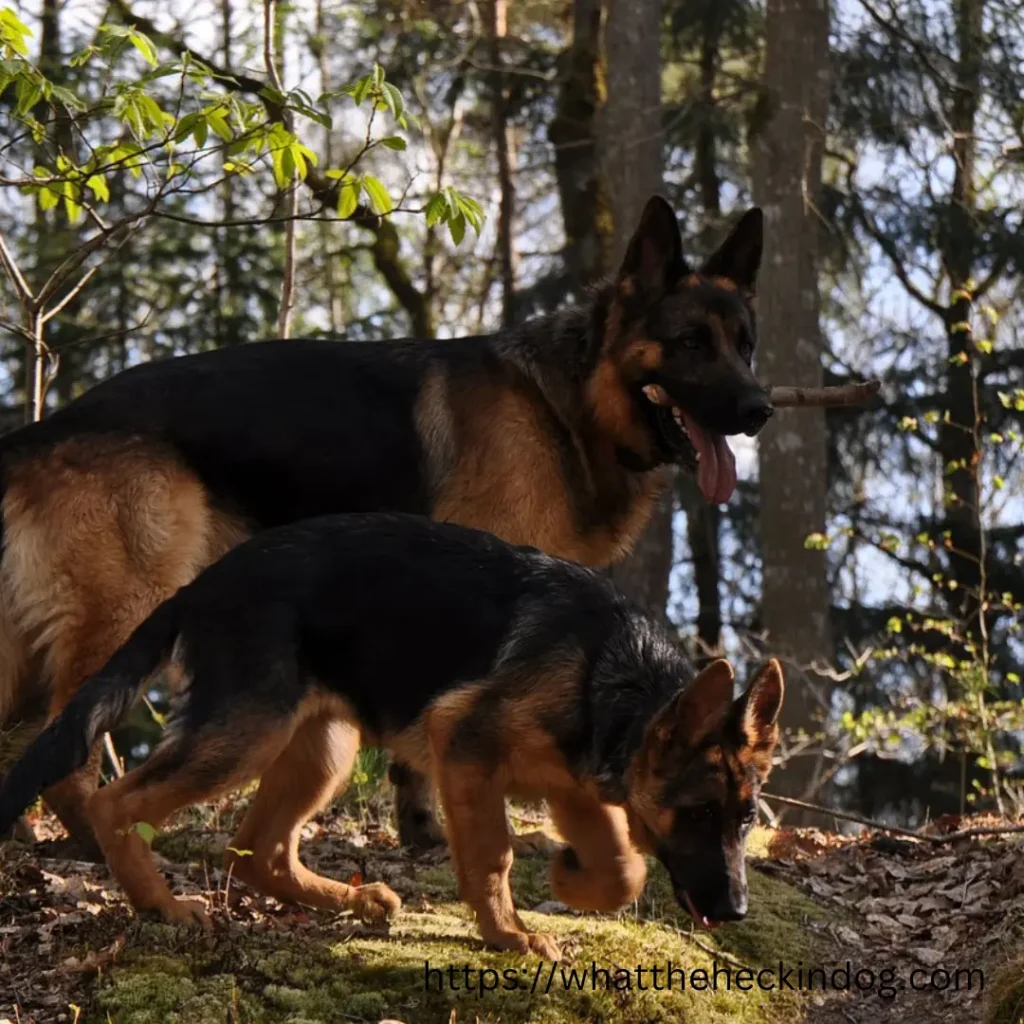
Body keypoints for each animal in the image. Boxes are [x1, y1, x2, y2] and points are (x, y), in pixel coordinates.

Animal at [0, 195, 770, 851]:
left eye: (745, 344)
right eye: (691, 342)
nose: (761, 409)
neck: (567, 402)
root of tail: (43, 430)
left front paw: (423, 835)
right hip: (129, 609)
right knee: (68, 753)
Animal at [0, 516, 782, 962]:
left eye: (745, 821)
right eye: (698, 814)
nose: (736, 913)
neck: (616, 673)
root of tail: (199, 587)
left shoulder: (576, 788)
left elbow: (625, 869)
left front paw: (569, 881)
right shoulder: (464, 744)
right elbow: (493, 856)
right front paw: (508, 935)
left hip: (323, 747)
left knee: (258, 849)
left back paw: (352, 901)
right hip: (246, 733)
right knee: (118, 803)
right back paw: (160, 905)